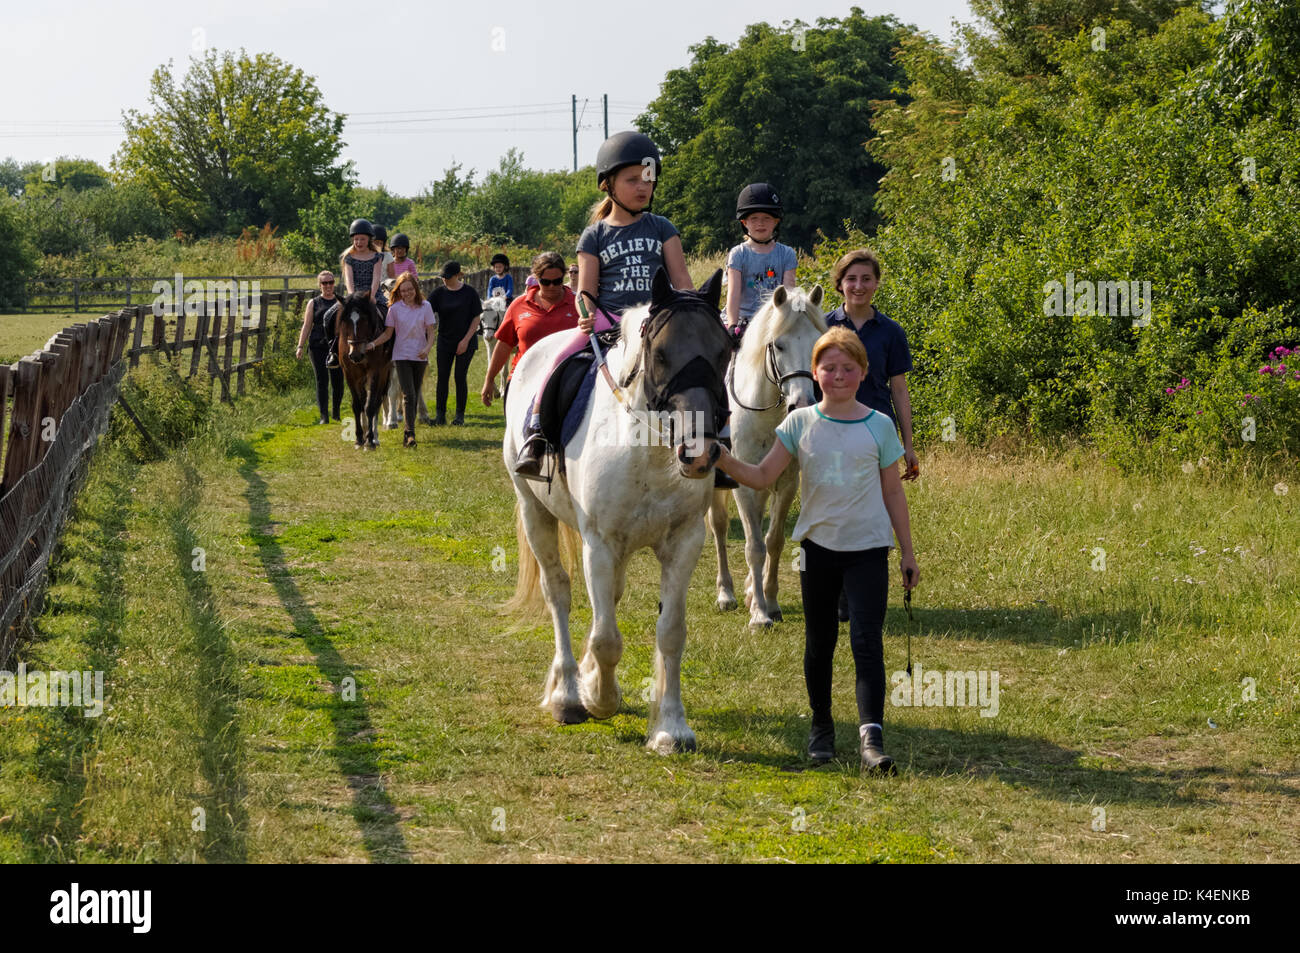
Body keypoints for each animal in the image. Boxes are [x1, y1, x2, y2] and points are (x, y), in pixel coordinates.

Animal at [335, 289, 390, 449]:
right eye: (346, 321)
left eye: (364, 320)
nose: (355, 355)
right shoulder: (350, 374)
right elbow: (357, 405)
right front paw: (359, 438)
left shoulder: (375, 372)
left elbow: (370, 406)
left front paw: (370, 439)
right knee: (364, 399)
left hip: (385, 372)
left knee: (377, 401)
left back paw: (374, 437)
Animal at [504, 265, 738, 748]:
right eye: (661, 354)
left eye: (724, 352)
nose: (699, 453)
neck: (649, 450)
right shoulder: (600, 544)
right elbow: (606, 637)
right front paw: (599, 700)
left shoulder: (685, 542)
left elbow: (671, 633)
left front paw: (671, 728)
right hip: (534, 512)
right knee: (559, 592)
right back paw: (568, 694)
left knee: (607, 598)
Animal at [712, 282, 821, 624]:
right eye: (779, 346)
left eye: (816, 344)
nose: (801, 403)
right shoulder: (743, 487)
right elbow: (754, 547)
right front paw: (760, 614)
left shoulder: (787, 484)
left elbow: (773, 541)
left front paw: (769, 602)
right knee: (719, 526)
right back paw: (727, 593)